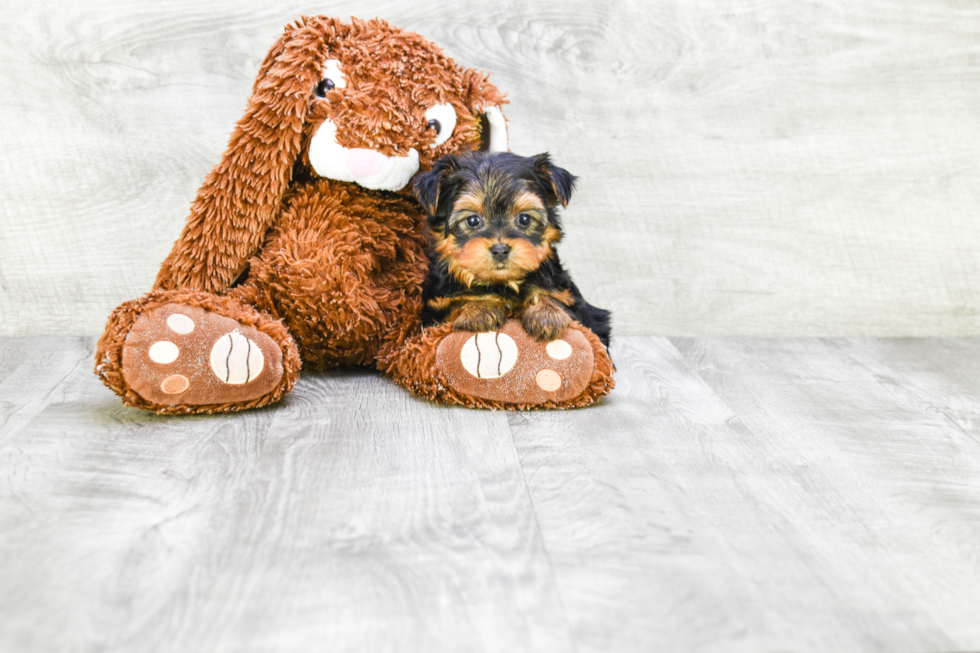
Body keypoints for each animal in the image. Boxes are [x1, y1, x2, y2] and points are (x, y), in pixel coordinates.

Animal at [410, 151, 608, 348]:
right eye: (473, 220)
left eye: (524, 219)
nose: (500, 250)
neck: (503, 283)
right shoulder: (434, 310)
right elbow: (456, 303)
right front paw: (480, 308)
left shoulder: (578, 304)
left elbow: (555, 297)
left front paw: (546, 313)